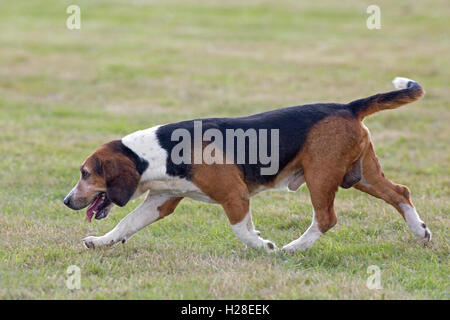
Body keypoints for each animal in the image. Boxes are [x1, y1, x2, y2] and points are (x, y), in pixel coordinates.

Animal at [63, 77, 432, 252]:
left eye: (85, 174)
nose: (66, 201)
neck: (158, 152)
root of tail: (348, 106)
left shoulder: (235, 196)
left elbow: (241, 230)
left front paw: (263, 246)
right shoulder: (161, 200)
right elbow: (126, 224)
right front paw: (100, 242)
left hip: (322, 176)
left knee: (326, 218)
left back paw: (293, 248)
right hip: (362, 176)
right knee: (401, 193)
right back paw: (421, 232)